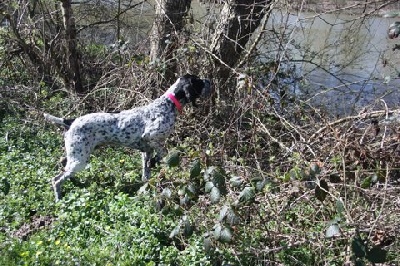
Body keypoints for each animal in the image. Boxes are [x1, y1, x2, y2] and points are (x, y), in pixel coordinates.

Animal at [44, 74, 212, 201]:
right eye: (198, 81)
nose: (210, 81)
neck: (168, 104)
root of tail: (71, 121)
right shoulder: (151, 137)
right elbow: (163, 153)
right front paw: (158, 162)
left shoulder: (146, 151)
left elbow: (146, 172)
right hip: (79, 159)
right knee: (56, 179)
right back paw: (59, 198)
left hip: (75, 156)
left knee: (63, 166)